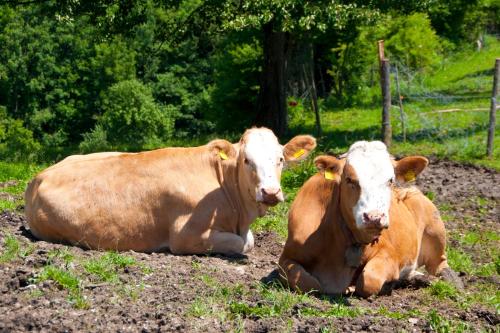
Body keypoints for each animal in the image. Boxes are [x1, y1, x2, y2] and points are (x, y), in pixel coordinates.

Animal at [24, 127, 316, 254]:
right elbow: (244, 244)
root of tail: (40, 175)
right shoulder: (186, 236)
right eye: (247, 160)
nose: (270, 192)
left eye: (280, 159)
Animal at [278, 140, 460, 296]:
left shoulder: (389, 254)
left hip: (434, 226)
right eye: (349, 179)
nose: (374, 217)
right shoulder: (285, 258)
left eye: (391, 180)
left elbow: (369, 279)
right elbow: (310, 284)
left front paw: (388, 284)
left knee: (439, 263)